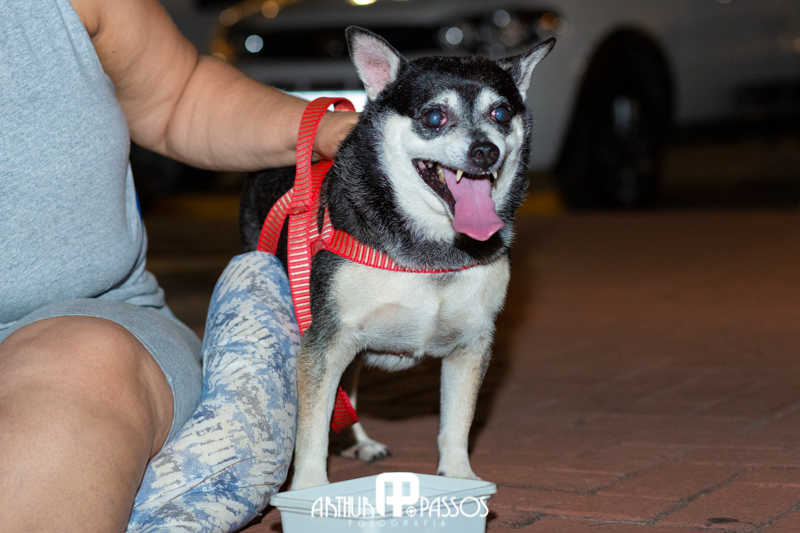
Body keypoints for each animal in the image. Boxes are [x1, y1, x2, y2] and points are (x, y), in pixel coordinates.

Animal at [240, 27, 554, 490]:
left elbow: (457, 423)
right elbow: (312, 429)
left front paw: (459, 478)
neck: (435, 247)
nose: (485, 150)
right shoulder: (325, 340)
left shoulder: (471, 345)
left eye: (500, 114)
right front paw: (311, 487)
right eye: (434, 117)